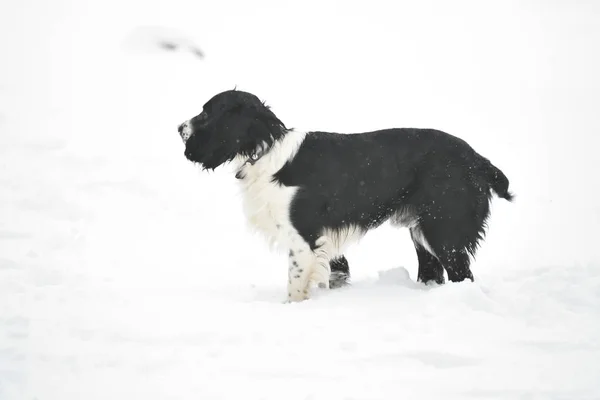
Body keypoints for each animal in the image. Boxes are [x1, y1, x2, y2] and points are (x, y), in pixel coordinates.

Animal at [177, 90, 510, 300]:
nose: (178, 127)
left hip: (444, 231)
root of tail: (479, 160)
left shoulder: (304, 237)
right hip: (422, 231)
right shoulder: (327, 239)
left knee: (462, 275)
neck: (269, 151)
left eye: (206, 113)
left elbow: (295, 285)